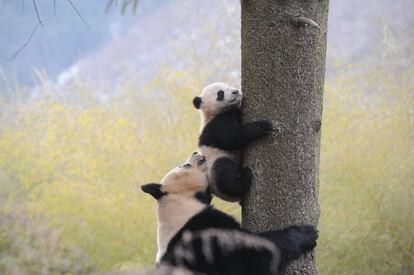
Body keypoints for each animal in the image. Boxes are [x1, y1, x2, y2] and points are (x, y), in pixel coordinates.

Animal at [141, 153, 318, 275]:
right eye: (186, 165)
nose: (196, 152)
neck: (180, 203)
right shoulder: (205, 233)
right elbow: (252, 255)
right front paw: (306, 233)